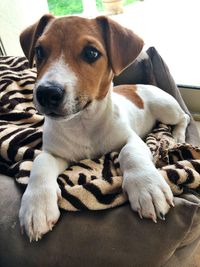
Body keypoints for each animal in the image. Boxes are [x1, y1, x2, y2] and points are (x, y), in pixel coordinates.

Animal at [18, 13, 189, 242]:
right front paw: (36, 206)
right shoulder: (54, 153)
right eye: (39, 51)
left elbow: (129, 153)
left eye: (91, 53)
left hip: (166, 108)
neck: (83, 122)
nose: (46, 93)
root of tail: (141, 85)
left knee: (184, 117)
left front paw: (147, 187)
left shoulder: (132, 139)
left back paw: (178, 135)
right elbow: (40, 162)